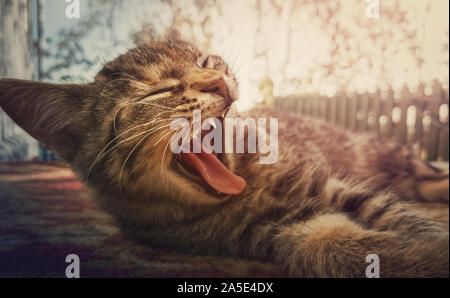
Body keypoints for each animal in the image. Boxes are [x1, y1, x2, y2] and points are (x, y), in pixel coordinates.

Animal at [0, 39, 448, 278]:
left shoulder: (330, 185)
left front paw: (432, 242)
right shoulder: (280, 231)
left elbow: (401, 217)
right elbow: (329, 245)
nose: (217, 80)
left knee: (425, 174)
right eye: (157, 92)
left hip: (384, 154)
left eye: (205, 61)